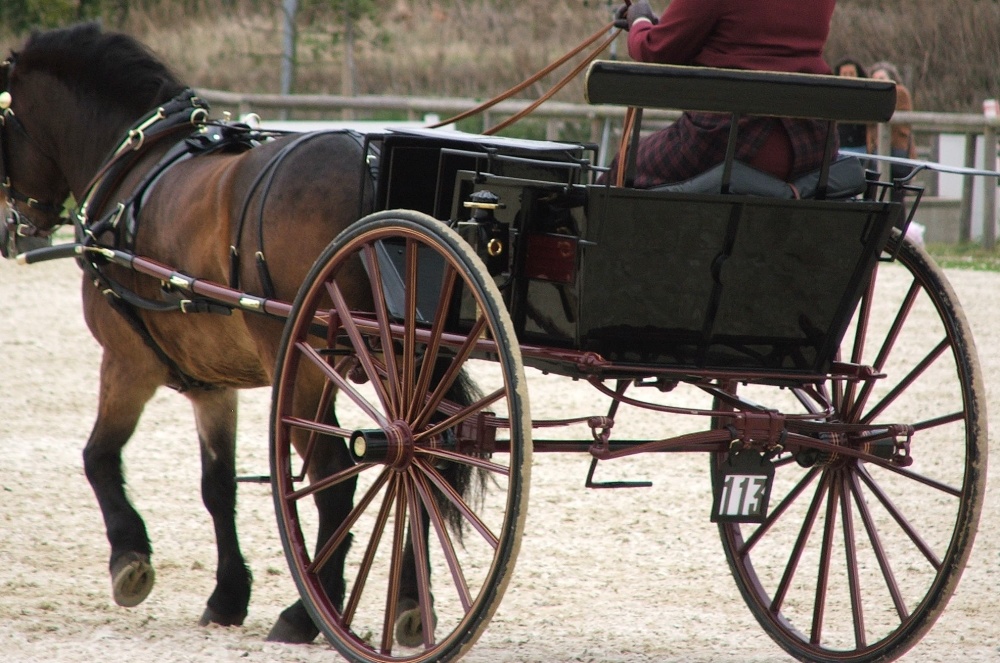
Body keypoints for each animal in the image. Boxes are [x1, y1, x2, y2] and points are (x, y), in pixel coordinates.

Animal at [0, 22, 486, 648]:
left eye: (2, 126)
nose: (14, 230)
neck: (134, 164)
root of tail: (370, 167)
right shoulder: (211, 385)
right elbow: (218, 486)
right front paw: (228, 593)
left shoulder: (128, 362)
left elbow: (97, 456)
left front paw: (130, 560)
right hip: (401, 366)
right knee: (420, 468)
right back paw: (408, 602)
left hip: (303, 368)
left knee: (334, 475)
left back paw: (309, 610)